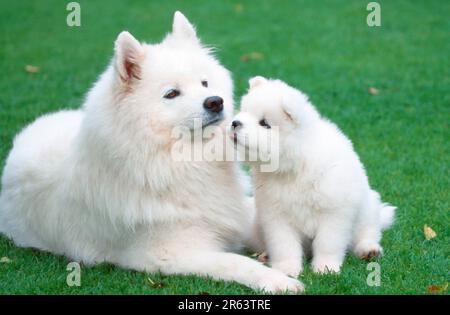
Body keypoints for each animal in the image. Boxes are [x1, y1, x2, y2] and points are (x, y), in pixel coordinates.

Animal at [0, 11, 304, 294]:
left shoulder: (236, 216)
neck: (181, 161)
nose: (215, 102)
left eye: (204, 83)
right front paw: (278, 280)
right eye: (171, 94)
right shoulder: (168, 253)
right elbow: (236, 262)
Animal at [230, 76, 396, 276]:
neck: (294, 168)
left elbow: (328, 243)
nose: (235, 123)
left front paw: (326, 268)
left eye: (264, 123)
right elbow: (284, 245)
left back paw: (369, 250)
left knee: (367, 233)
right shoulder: (276, 215)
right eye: (244, 111)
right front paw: (286, 269)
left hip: (368, 207)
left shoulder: (334, 212)